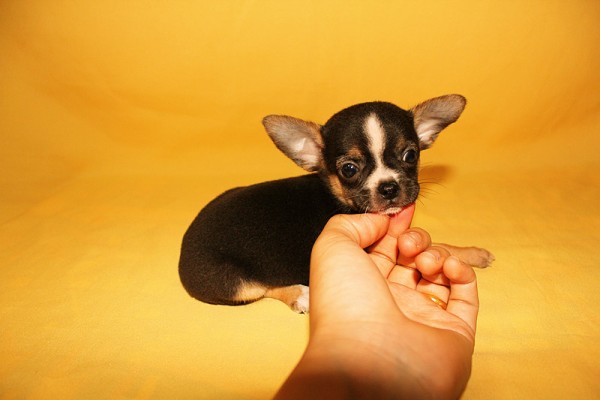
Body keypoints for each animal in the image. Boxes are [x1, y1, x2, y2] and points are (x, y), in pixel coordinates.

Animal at [179, 94, 493, 313]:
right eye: (349, 170)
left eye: (411, 155)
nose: (389, 187)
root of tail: (183, 249)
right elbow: (437, 246)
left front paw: (472, 253)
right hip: (235, 282)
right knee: (264, 288)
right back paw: (301, 295)